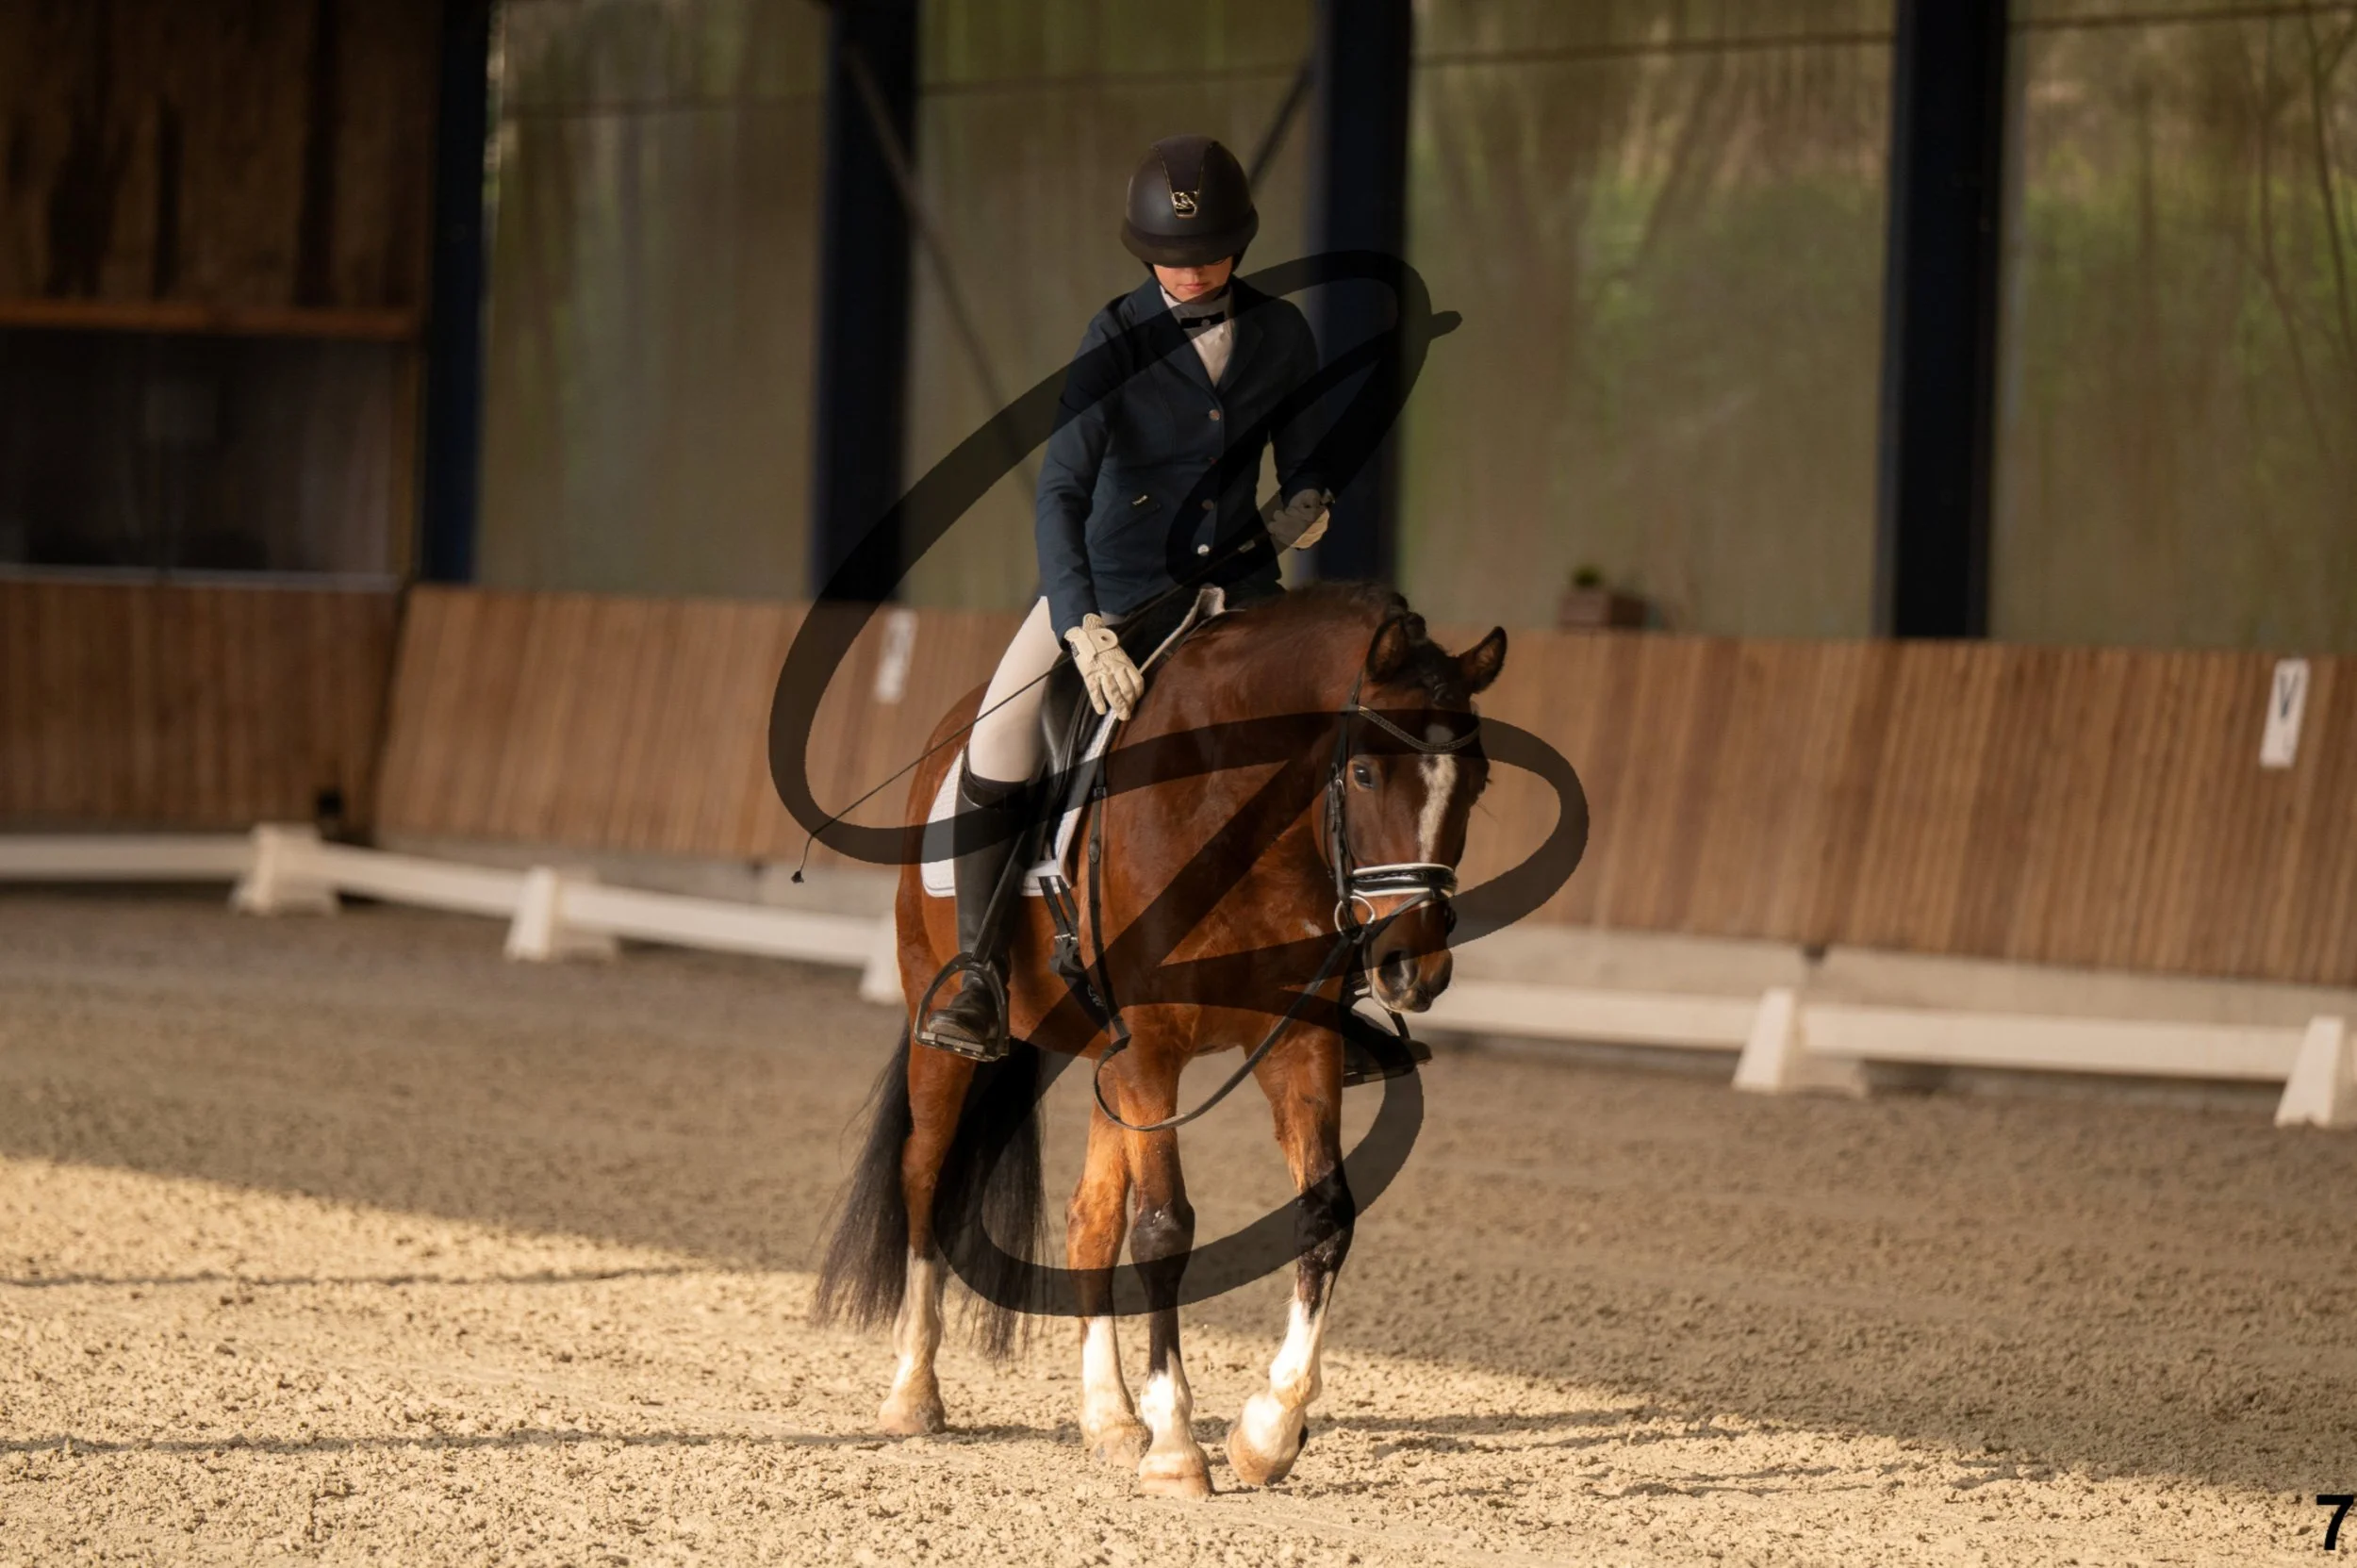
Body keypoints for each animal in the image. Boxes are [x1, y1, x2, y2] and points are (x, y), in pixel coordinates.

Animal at [814, 581, 1508, 1497]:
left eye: (1477, 781)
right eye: (1362, 772)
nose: (1409, 968)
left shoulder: (1295, 1040)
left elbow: (1325, 1212)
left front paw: (1268, 1430)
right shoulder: (1151, 1046)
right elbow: (1164, 1228)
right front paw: (1178, 1445)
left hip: (1111, 1065)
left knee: (1088, 1219)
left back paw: (1109, 1417)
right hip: (949, 1027)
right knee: (924, 1175)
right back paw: (913, 1392)